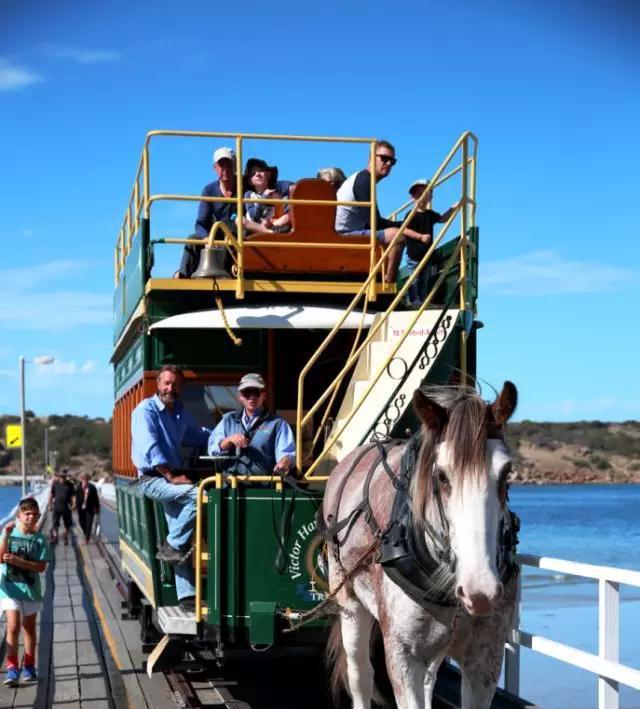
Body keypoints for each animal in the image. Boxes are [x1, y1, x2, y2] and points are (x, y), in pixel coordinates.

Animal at [324, 384, 520, 704]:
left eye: (506, 473)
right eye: (441, 476)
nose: (480, 590)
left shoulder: (485, 659)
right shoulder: (402, 656)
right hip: (349, 601)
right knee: (360, 675)